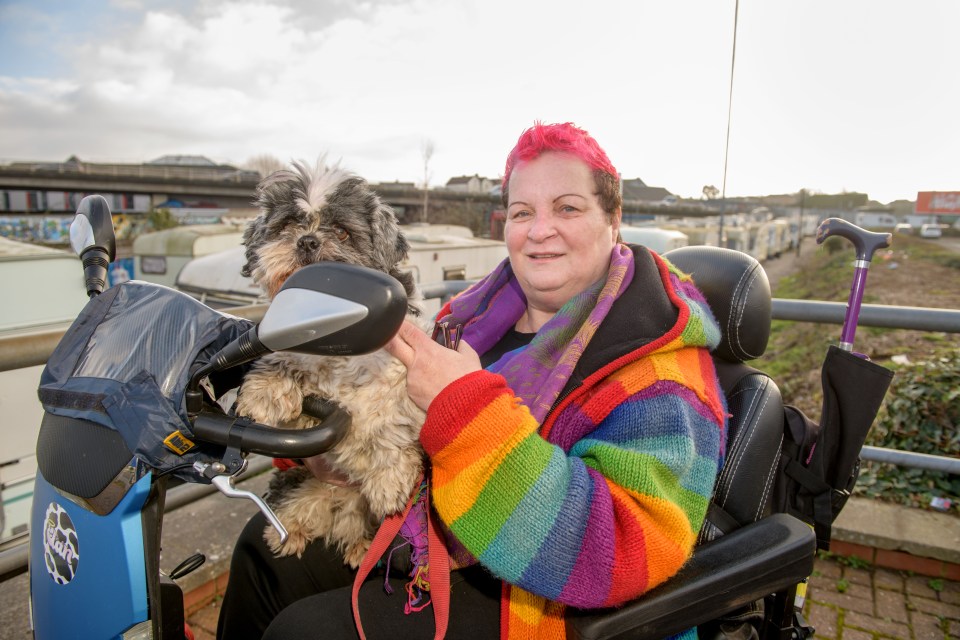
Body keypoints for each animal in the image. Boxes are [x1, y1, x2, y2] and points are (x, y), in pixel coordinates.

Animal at [232, 159, 428, 564]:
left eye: (341, 231)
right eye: (288, 225)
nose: (307, 241)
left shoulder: (400, 371)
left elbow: (389, 419)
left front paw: (389, 477)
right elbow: (281, 363)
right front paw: (263, 394)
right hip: (300, 485)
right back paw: (291, 533)